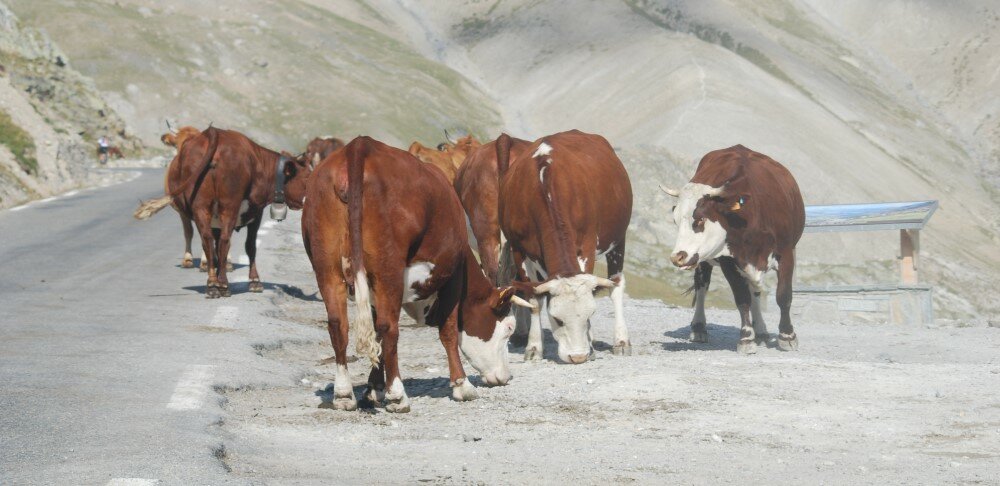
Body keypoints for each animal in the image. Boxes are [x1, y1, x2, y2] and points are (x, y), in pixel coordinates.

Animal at [660, 144, 808, 354]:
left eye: (700, 219)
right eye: (675, 220)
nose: (677, 257)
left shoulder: (786, 253)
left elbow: (783, 295)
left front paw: (787, 336)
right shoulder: (728, 261)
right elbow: (742, 299)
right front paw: (746, 338)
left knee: (755, 290)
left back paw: (761, 330)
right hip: (703, 261)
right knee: (702, 286)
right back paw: (699, 328)